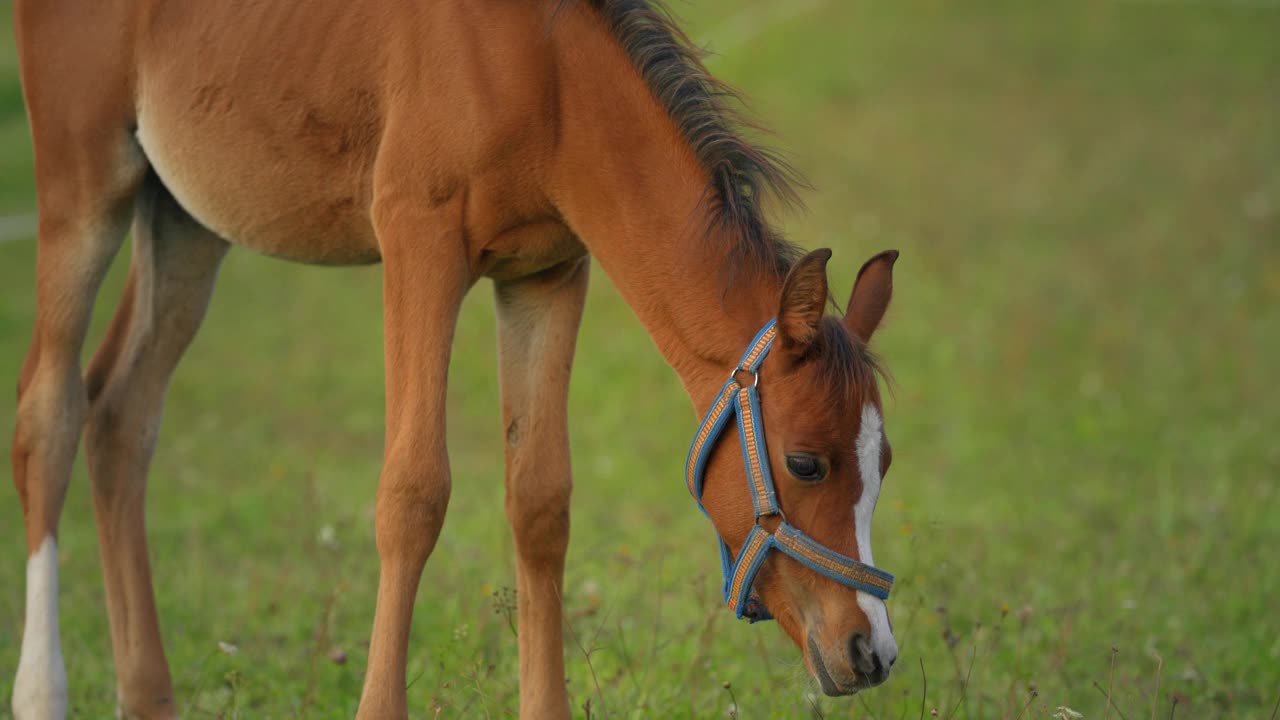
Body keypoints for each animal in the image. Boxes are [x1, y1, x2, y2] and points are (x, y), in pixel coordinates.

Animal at [7, 2, 901, 712]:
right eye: (806, 462)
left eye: (884, 461)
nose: (873, 652)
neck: (543, 72)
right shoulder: (418, 240)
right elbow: (412, 494)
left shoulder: (547, 272)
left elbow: (540, 501)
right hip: (85, 184)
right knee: (50, 412)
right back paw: (41, 692)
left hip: (187, 217)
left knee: (122, 413)